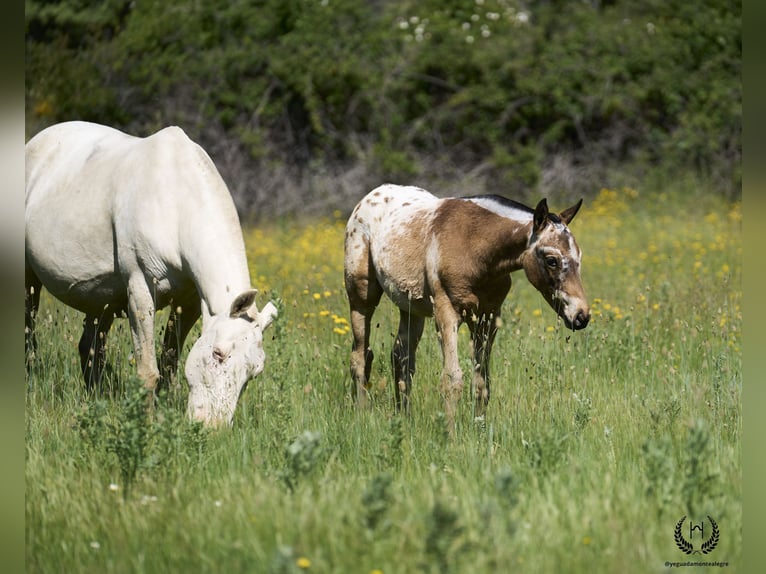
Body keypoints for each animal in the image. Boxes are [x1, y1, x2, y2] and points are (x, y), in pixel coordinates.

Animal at [26, 121, 280, 428]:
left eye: (255, 372)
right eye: (218, 354)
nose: (211, 428)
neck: (175, 204)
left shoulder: (189, 301)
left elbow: (169, 363)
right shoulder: (140, 288)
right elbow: (148, 369)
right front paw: (146, 423)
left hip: (102, 300)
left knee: (90, 348)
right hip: (29, 279)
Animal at [344, 184, 592, 432]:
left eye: (579, 257)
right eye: (552, 260)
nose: (581, 316)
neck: (474, 245)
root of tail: (371, 196)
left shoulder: (486, 318)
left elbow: (482, 381)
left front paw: (479, 429)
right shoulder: (446, 314)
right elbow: (452, 379)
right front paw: (450, 436)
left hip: (411, 307)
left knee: (401, 356)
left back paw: (404, 417)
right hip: (361, 296)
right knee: (361, 355)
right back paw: (361, 414)